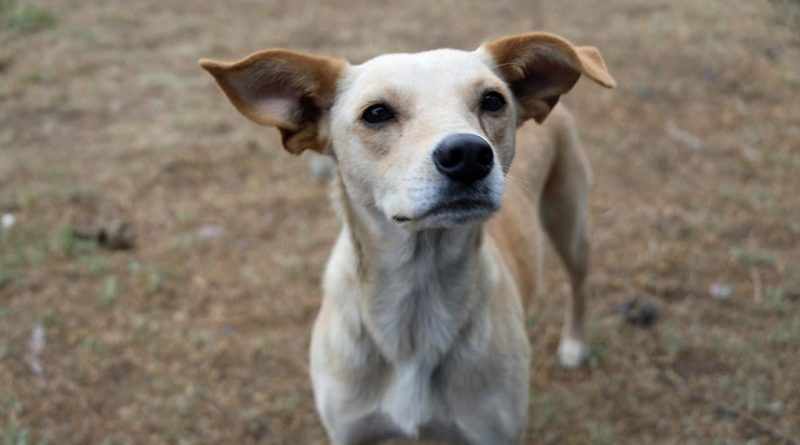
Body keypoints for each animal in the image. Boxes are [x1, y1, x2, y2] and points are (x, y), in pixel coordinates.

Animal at [200, 32, 612, 444]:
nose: (469, 154)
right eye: (376, 113)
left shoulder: (493, 432)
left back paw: (574, 345)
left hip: (569, 222)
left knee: (577, 284)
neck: (418, 300)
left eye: (493, 100)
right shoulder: (349, 431)